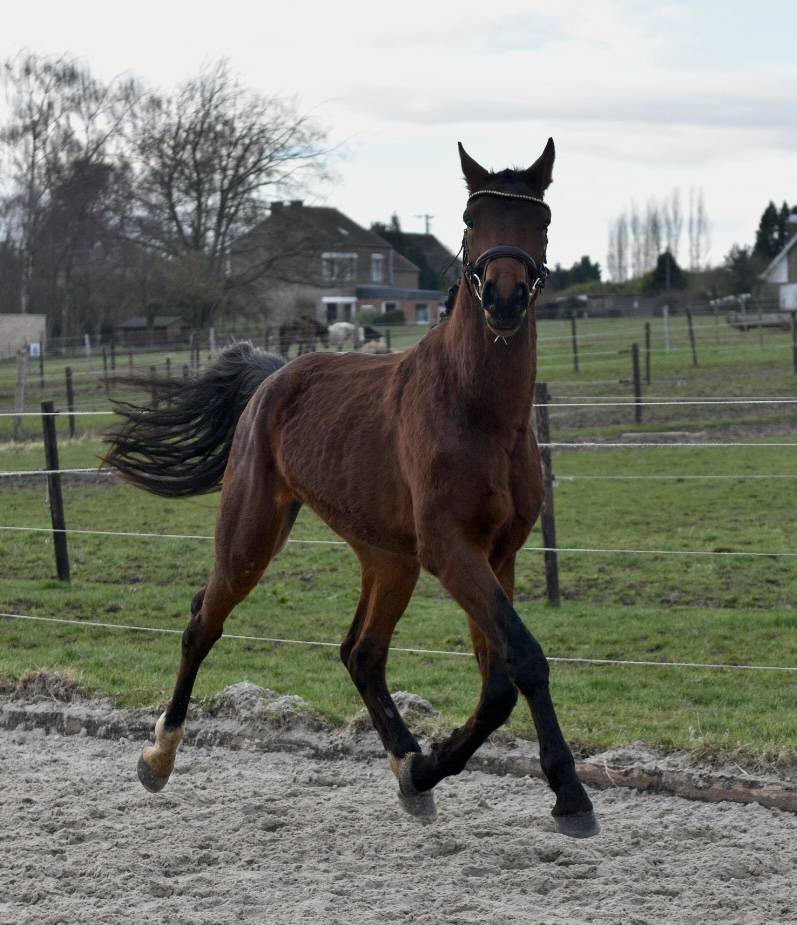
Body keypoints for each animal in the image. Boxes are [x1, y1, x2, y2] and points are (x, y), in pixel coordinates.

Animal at [104, 139, 598, 839]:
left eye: (543, 220)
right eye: (472, 218)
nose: (503, 298)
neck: (478, 410)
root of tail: (274, 376)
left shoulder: (496, 555)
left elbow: (498, 681)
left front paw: (431, 769)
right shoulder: (454, 551)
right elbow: (520, 664)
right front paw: (569, 795)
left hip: (390, 559)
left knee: (361, 652)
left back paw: (408, 769)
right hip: (251, 534)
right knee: (204, 623)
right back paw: (158, 758)